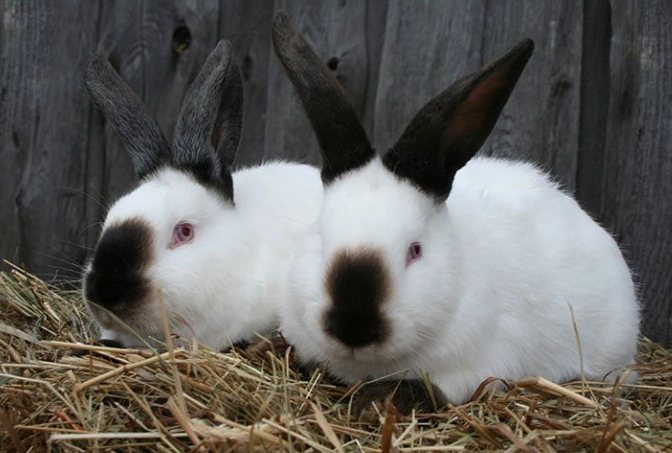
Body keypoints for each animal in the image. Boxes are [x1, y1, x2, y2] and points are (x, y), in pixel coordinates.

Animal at [271, 12, 640, 412]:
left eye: (415, 251)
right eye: (321, 242)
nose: (353, 326)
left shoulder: (476, 369)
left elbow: (431, 388)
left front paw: (373, 403)